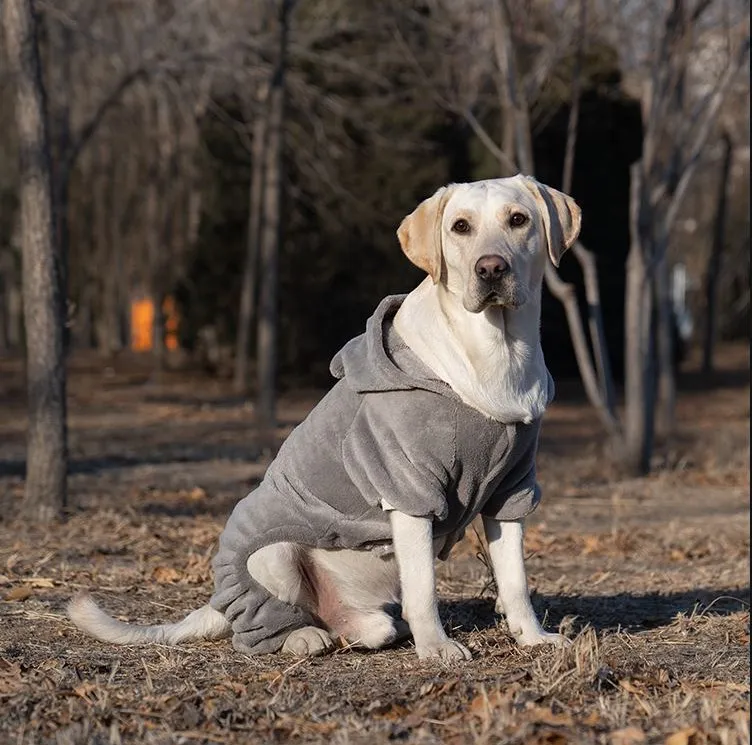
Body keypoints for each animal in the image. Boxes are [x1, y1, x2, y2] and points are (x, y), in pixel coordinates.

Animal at [69, 176, 580, 664]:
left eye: (518, 220)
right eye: (460, 227)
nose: (491, 268)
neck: (496, 357)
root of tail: (217, 601)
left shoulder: (511, 489)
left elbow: (515, 580)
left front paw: (533, 637)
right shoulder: (410, 487)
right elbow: (424, 589)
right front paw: (436, 647)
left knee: (364, 627)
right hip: (270, 555)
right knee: (260, 629)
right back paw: (302, 637)